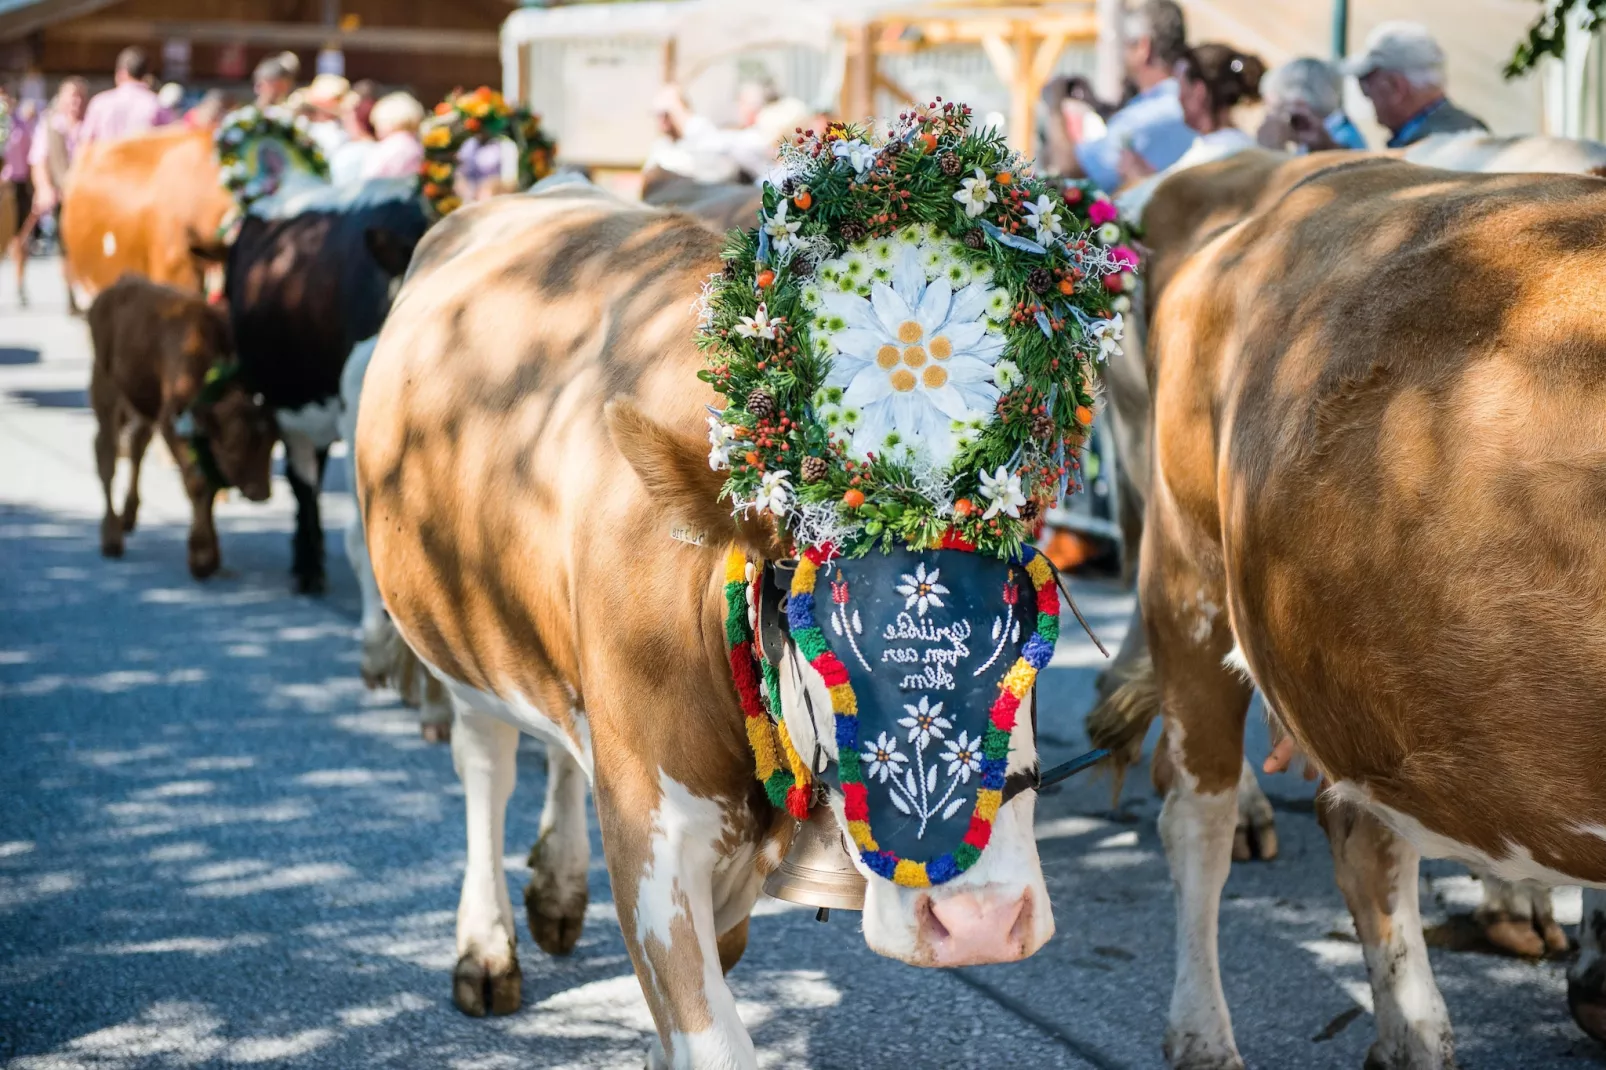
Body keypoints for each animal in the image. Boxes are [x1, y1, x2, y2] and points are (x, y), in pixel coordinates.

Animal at [89, 274, 273, 575]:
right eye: (234, 441)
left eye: (274, 440)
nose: (261, 492)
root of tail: (118, 286)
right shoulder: (171, 423)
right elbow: (197, 483)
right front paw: (201, 557)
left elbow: (209, 485)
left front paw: (210, 555)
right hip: (105, 390)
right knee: (106, 454)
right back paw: (112, 538)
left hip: (141, 402)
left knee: (137, 444)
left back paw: (129, 516)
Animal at [354, 102, 1130, 1060]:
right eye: (818, 632)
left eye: (1036, 637)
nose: (981, 923)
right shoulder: (649, 831)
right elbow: (713, 1039)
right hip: (463, 640)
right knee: (488, 764)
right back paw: (486, 946)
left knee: (559, 749)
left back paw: (556, 891)